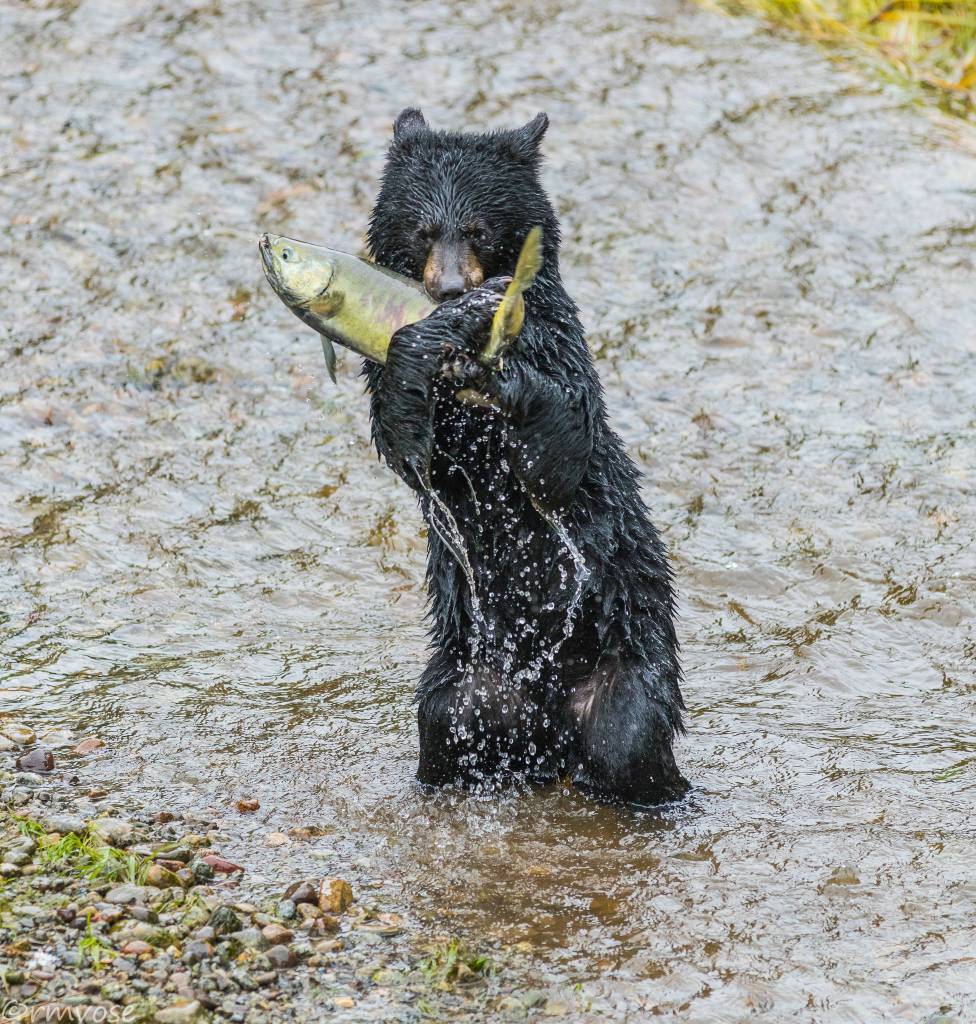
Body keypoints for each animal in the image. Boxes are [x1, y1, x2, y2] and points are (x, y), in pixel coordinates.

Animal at [363, 108, 689, 806]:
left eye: (478, 229)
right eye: (423, 229)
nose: (449, 287)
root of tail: (553, 728)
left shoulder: (559, 344)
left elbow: (560, 450)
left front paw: (499, 376)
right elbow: (412, 450)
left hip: (628, 654)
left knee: (628, 737)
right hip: (474, 674)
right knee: (446, 722)